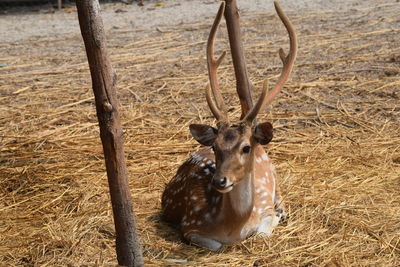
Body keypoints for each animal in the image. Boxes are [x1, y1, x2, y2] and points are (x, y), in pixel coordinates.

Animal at [160, 0, 296, 251]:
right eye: (215, 147)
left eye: (246, 147)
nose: (219, 180)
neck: (234, 226)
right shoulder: (189, 226)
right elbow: (217, 245)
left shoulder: (264, 211)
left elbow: (262, 233)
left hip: (274, 175)